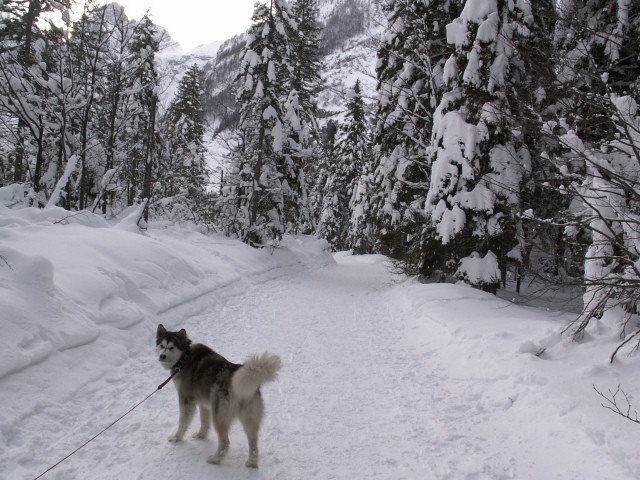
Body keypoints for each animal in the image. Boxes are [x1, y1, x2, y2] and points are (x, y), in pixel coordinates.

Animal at [156, 324, 282, 466]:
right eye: (161, 345)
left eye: (171, 347)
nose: (162, 356)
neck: (185, 357)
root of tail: (235, 377)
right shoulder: (203, 403)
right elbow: (204, 422)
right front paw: (201, 435)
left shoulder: (186, 400)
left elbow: (183, 422)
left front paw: (176, 437)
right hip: (249, 419)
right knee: (253, 443)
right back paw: (252, 463)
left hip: (219, 416)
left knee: (225, 442)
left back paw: (215, 459)